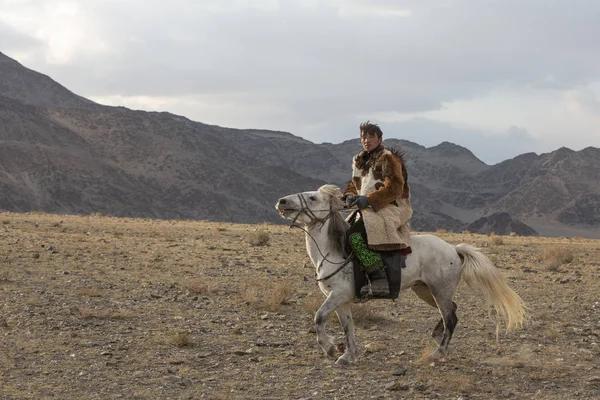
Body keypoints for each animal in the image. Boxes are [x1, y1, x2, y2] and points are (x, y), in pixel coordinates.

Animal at [274, 184, 528, 366]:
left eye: (312, 198)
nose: (281, 201)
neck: (333, 252)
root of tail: (453, 249)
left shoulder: (338, 295)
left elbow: (318, 318)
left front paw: (329, 348)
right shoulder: (342, 300)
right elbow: (348, 327)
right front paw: (348, 355)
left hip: (440, 291)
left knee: (451, 318)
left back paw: (438, 353)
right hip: (424, 290)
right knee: (452, 311)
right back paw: (437, 335)